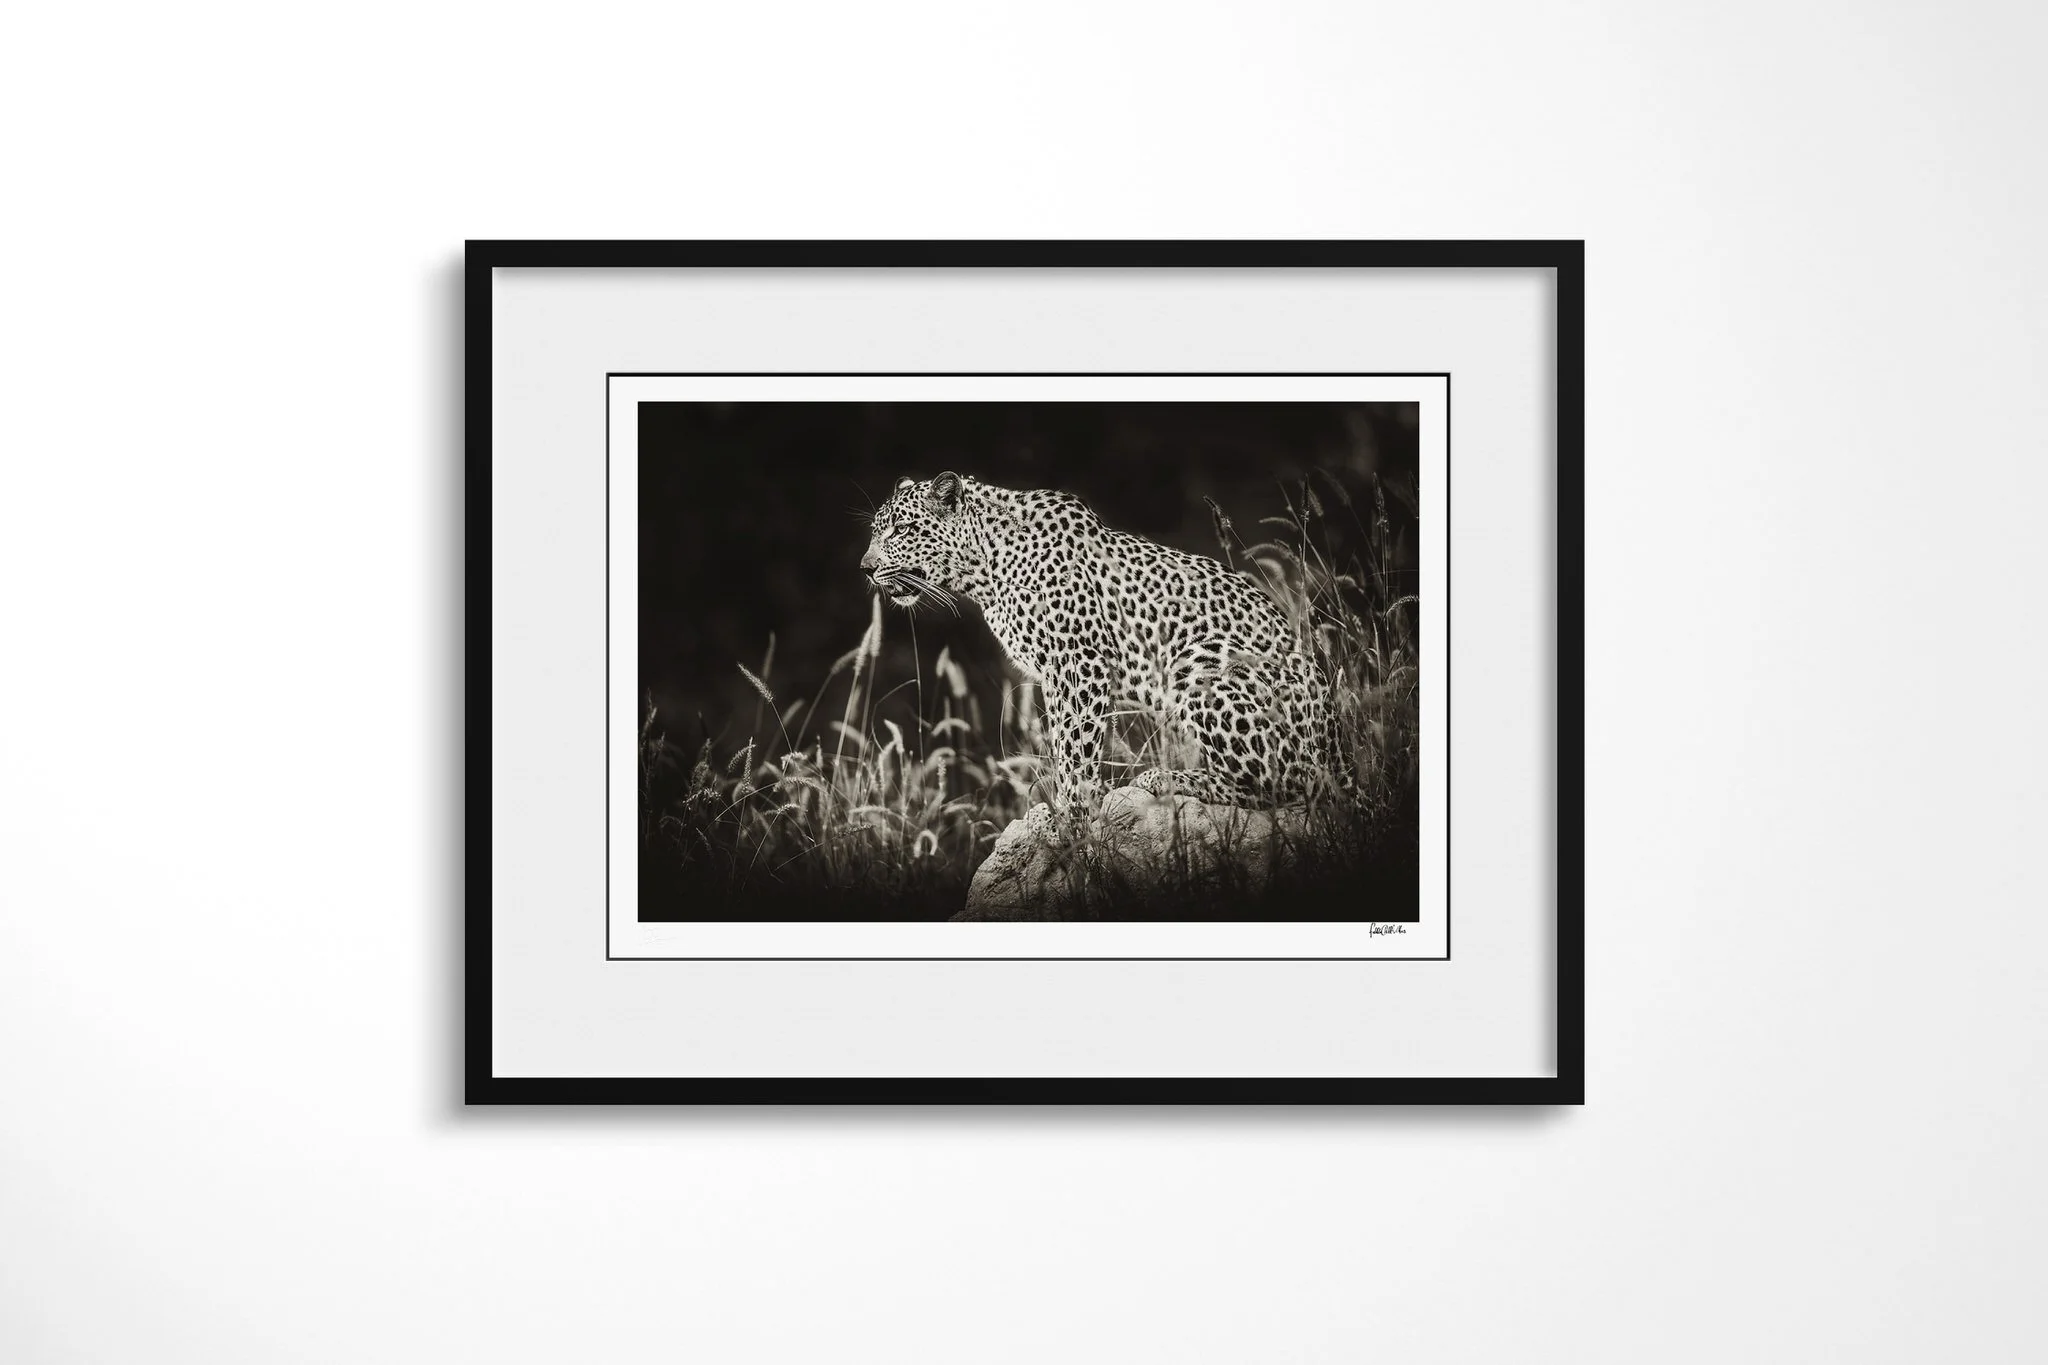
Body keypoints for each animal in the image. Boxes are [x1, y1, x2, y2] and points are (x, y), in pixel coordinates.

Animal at [859, 471, 1339, 813]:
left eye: (901, 530)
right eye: (876, 531)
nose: (865, 567)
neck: (984, 568)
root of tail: (1338, 752)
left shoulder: (1079, 661)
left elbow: (1077, 746)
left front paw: (1076, 814)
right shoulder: (1054, 673)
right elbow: (1062, 741)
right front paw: (1063, 809)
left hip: (1198, 662)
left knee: (1285, 782)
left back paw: (1164, 779)